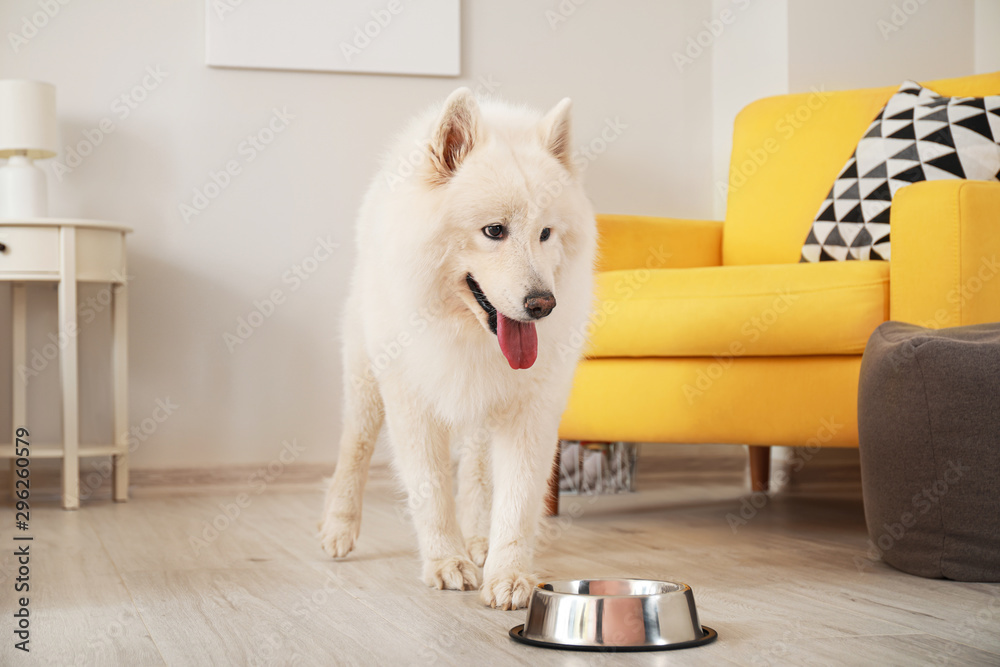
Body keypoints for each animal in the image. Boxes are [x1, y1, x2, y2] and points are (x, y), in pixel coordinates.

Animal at [322, 87, 592, 612]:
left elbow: (516, 499)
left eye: (545, 234)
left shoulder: (529, 409)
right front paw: (446, 561)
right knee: (355, 445)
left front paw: (508, 575)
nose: (543, 304)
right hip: (365, 377)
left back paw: (479, 538)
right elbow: (429, 491)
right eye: (494, 231)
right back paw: (339, 528)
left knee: (478, 471)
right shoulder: (412, 402)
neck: (467, 334)